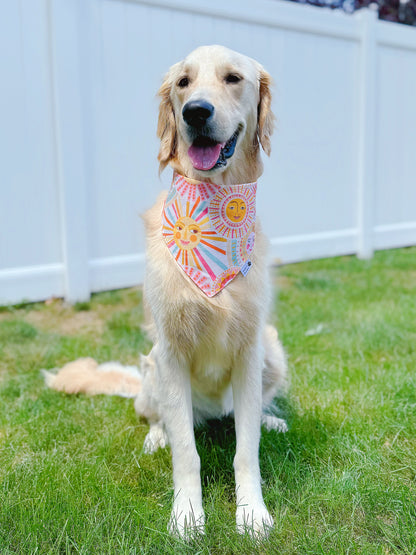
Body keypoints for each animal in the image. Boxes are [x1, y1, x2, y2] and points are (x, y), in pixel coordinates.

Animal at [44, 45, 288, 540]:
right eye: (183, 83)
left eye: (233, 78)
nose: (196, 111)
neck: (212, 216)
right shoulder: (172, 351)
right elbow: (187, 453)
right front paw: (188, 515)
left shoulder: (250, 347)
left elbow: (245, 450)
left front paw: (252, 512)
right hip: (152, 364)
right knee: (161, 417)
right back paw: (157, 435)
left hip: (272, 350)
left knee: (242, 417)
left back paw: (269, 418)